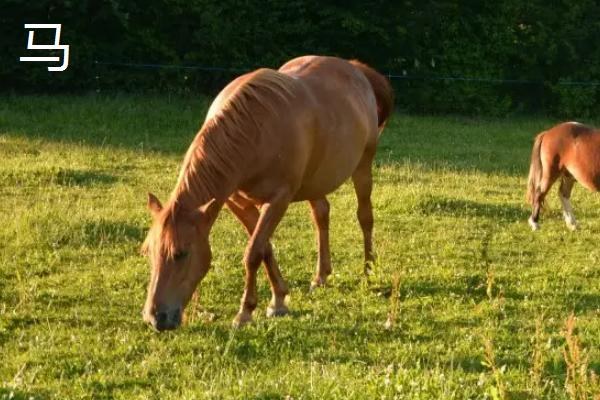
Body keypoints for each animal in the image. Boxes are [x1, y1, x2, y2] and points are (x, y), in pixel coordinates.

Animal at [141, 56, 394, 332]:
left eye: (181, 254)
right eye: (149, 252)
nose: (156, 317)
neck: (253, 132)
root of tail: (355, 68)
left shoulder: (278, 200)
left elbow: (253, 252)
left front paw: (245, 312)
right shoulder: (237, 201)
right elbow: (265, 248)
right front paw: (278, 300)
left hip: (363, 167)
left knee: (365, 217)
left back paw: (368, 271)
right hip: (315, 181)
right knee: (321, 215)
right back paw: (321, 276)